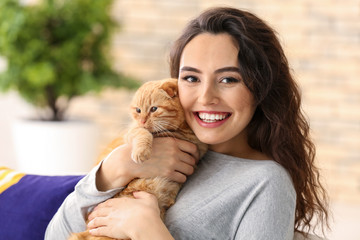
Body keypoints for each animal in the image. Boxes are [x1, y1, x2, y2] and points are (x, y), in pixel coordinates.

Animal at [69, 78, 207, 239]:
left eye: (154, 109)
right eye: (138, 110)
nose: (142, 121)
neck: (182, 129)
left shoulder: (199, 146)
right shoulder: (132, 131)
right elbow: (143, 133)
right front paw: (142, 151)